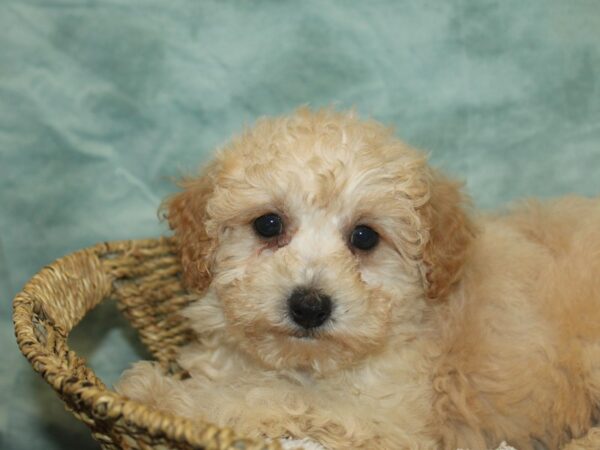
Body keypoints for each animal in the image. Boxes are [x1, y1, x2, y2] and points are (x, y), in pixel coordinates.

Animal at [117, 108, 600, 450]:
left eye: (365, 237)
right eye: (268, 225)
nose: (309, 306)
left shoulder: (381, 421)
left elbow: (268, 398)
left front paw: (159, 395)